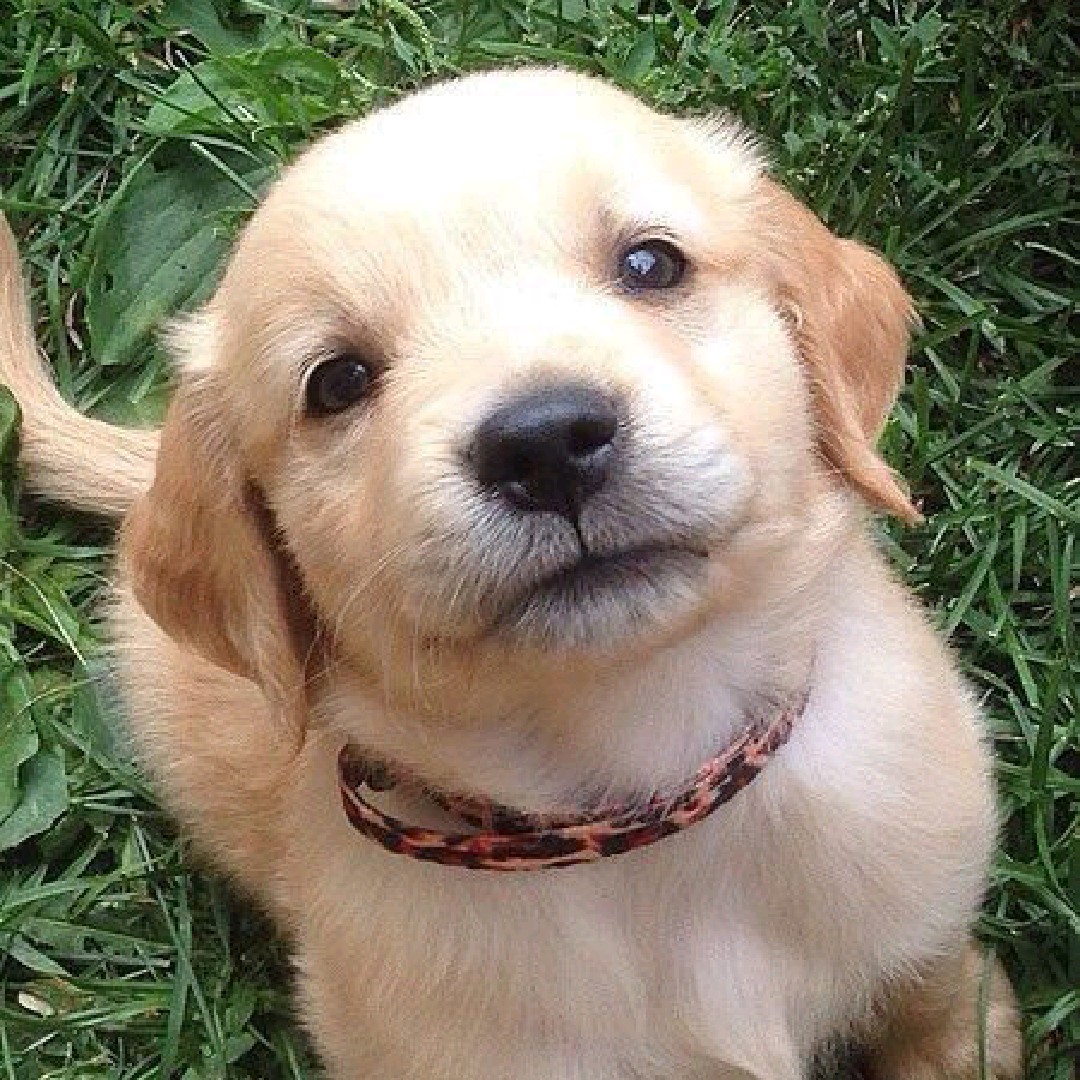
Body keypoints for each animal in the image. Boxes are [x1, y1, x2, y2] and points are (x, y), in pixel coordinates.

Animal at [1, 68, 1022, 1079]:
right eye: (337, 382)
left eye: (651, 265)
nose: (545, 443)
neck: (647, 767)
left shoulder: (924, 877)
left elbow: (930, 984)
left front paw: (972, 1042)